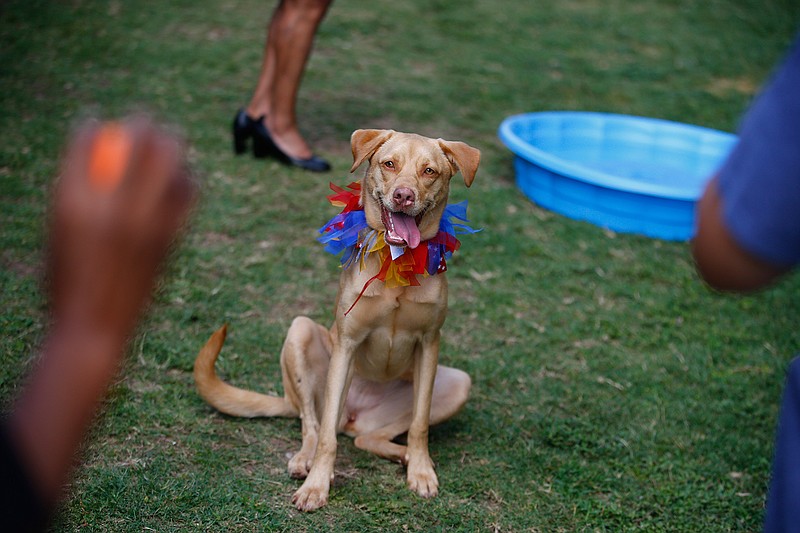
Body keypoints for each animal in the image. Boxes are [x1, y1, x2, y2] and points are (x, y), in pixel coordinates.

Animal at [194, 129, 482, 512]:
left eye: (429, 171)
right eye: (389, 164)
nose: (403, 195)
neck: (396, 263)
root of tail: (354, 416)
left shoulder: (429, 343)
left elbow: (419, 424)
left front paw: (421, 471)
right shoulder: (346, 345)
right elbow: (326, 437)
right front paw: (316, 486)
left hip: (456, 384)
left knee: (368, 439)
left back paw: (404, 455)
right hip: (301, 333)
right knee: (314, 425)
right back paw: (305, 460)